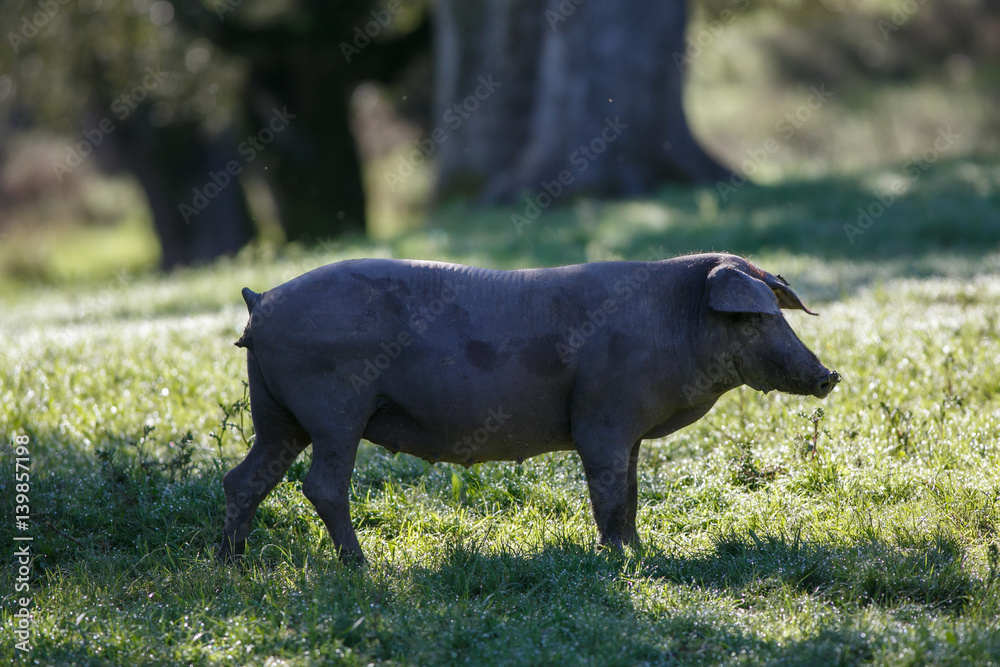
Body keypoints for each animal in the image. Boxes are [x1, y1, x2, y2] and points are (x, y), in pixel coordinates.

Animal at [218, 252, 839, 564]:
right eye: (755, 318)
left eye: (778, 312)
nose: (828, 375)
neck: (675, 321)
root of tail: (259, 302)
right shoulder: (603, 418)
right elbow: (608, 491)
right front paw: (617, 559)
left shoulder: (630, 430)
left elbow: (632, 490)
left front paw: (642, 551)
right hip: (334, 406)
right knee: (321, 485)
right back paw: (363, 567)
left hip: (278, 416)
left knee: (243, 478)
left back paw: (233, 561)